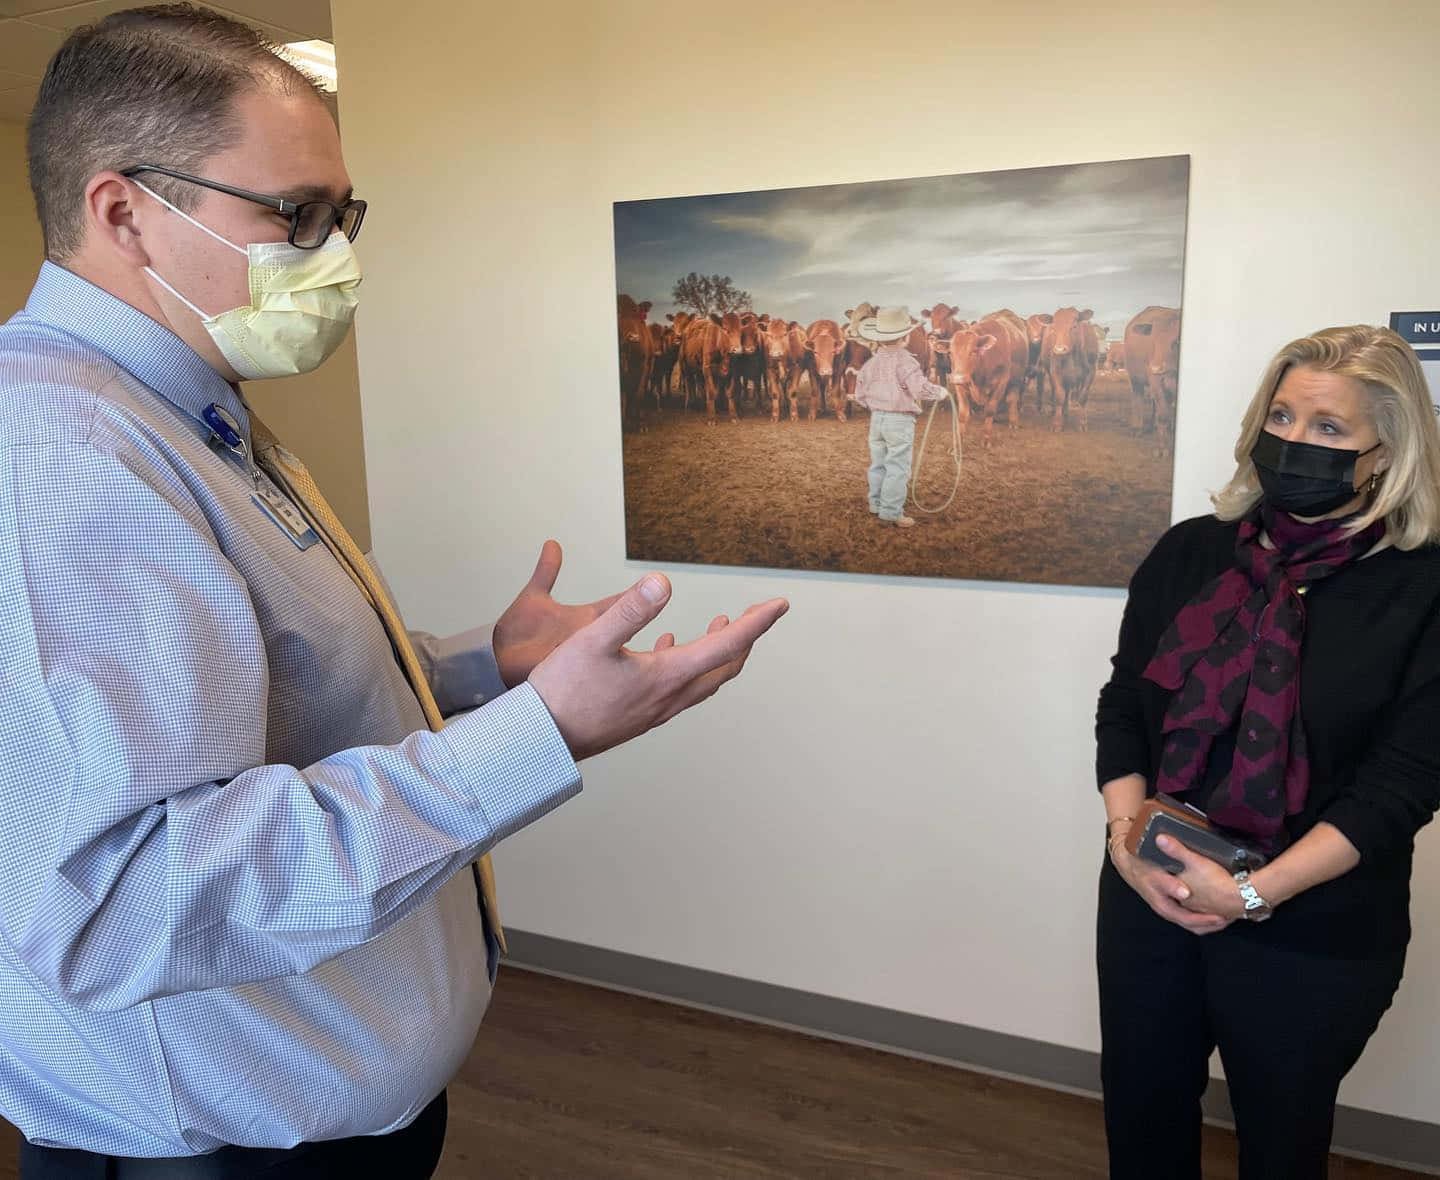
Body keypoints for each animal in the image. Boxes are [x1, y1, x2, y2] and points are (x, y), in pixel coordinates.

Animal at [950, 311, 1031, 446]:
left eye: (974, 351)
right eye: (950, 353)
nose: (958, 378)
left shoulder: (1001, 382)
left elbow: (990, 409)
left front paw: (986, 438)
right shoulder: (961, 385)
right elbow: (963, 413)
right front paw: (959, 442)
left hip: (1017, 379)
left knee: (1012, 399)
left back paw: (1013, 422)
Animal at [1123, 304, 1180, 452]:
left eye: (1176, 341)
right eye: (1153, 340)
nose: (1155, 368)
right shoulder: (1157, 382)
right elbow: (1163, 415)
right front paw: (1162, 449)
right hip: (1135, 380)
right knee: (1138, 399)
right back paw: (1137, 428)